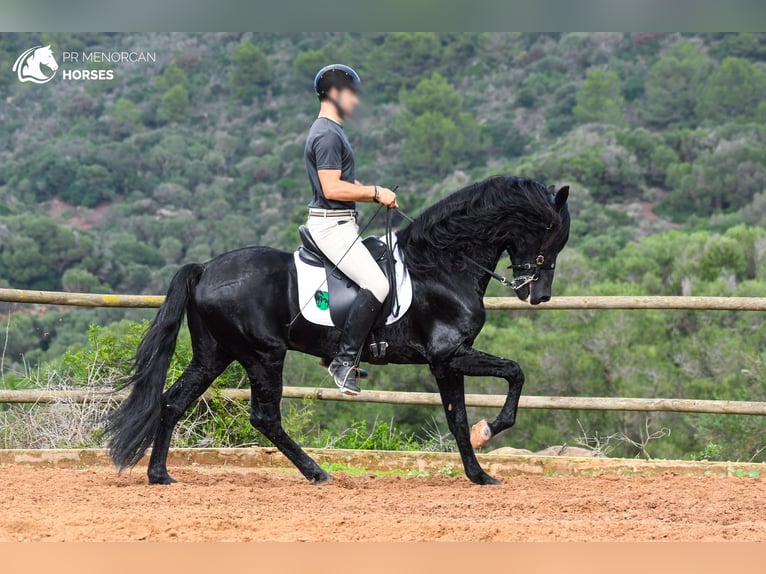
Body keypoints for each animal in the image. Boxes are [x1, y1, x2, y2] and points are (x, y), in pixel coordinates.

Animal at [106, 176, 568, 486]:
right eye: (552, 232)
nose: (538, 295)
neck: (442, 264)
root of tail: (204, 268)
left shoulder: (446, 362)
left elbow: (458, 417)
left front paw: (478, 473)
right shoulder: (448, 354)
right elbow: (514, 373)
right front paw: (489, 433)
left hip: (215, 354)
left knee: (172, 401)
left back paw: (159, 475)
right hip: (263, 355)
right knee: (265, 416)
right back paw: (317, 472)